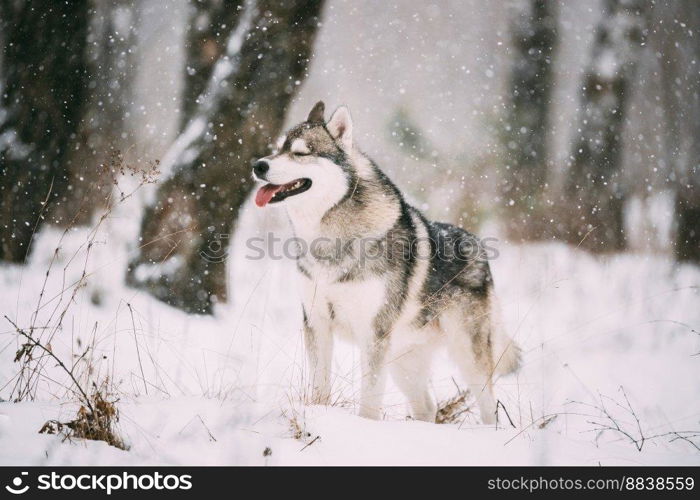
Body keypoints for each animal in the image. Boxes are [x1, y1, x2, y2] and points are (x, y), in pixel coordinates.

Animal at [252, 101, 520, 422]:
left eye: (301, 153)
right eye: (278, 148)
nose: (258, 166)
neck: (328, 240)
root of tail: (479, 246)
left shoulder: (373, 335)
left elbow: (369, 401)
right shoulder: (316, 324)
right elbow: (319, 388)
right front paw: (318, 415)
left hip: (467, 356)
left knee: (490, 406)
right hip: (403, 364)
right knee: (427, 407)